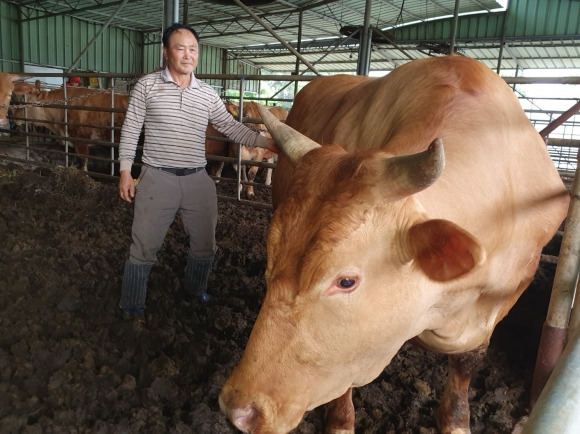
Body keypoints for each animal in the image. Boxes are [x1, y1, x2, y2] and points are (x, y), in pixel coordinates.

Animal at [220, 56, 568, 432]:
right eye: (272, 255)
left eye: (346, 281)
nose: (240, 410)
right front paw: (341, 421)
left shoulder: (504, 296)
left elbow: (466, 363)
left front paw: (456, 420)